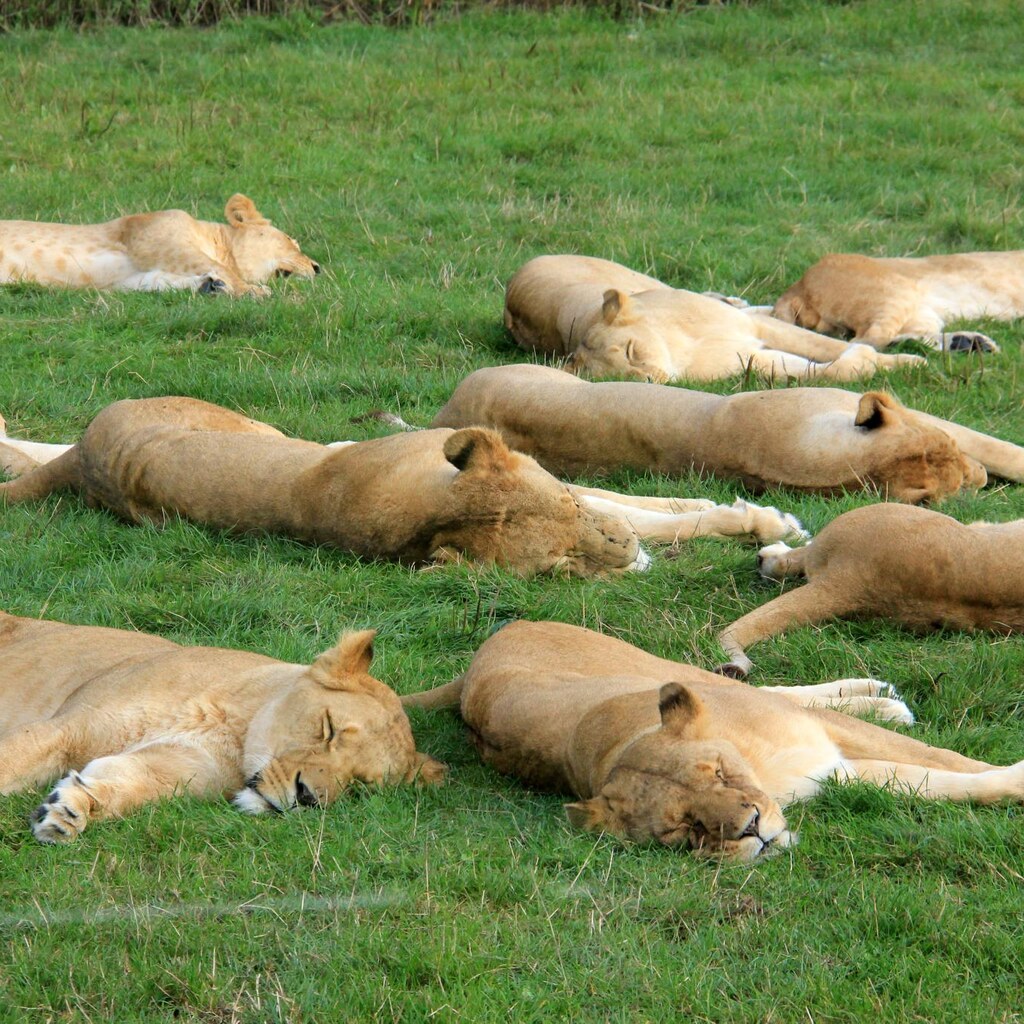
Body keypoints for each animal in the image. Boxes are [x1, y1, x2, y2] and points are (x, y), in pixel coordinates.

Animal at [0, 194, 319, 297]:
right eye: (291, 241)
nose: (317, 267)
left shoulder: (127, 279)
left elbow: (156, 282)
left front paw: (210, 286)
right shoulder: (157, 241)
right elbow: (216, 266)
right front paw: (253, 291)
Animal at [0, 611, 445, 843]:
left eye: (361, 785)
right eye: (329, 727)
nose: (306, 797)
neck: (233, 730)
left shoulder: (168, 770)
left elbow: (120, 784)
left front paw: (67, 810)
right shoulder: (67, 727)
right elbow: (10, 761)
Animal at [402, 621, 1024, 861]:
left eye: (719, 774)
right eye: (686, 829)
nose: (752, 830)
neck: (763, 772)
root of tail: (473, 667)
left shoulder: (825, 740)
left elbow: (942, 758)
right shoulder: (834, 771)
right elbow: (935, 784)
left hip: (660, 667)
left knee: (771, 688)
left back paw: (882, 697)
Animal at [505, 255, 926, 382]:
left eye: (630, 351)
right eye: (621, 378)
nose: (653, 380)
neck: (679, 348)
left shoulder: (756, 329)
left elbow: (823, 345)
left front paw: (908, 360)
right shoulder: (749, 360)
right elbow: (818, 369)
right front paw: (871, 363)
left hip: (639, 280)